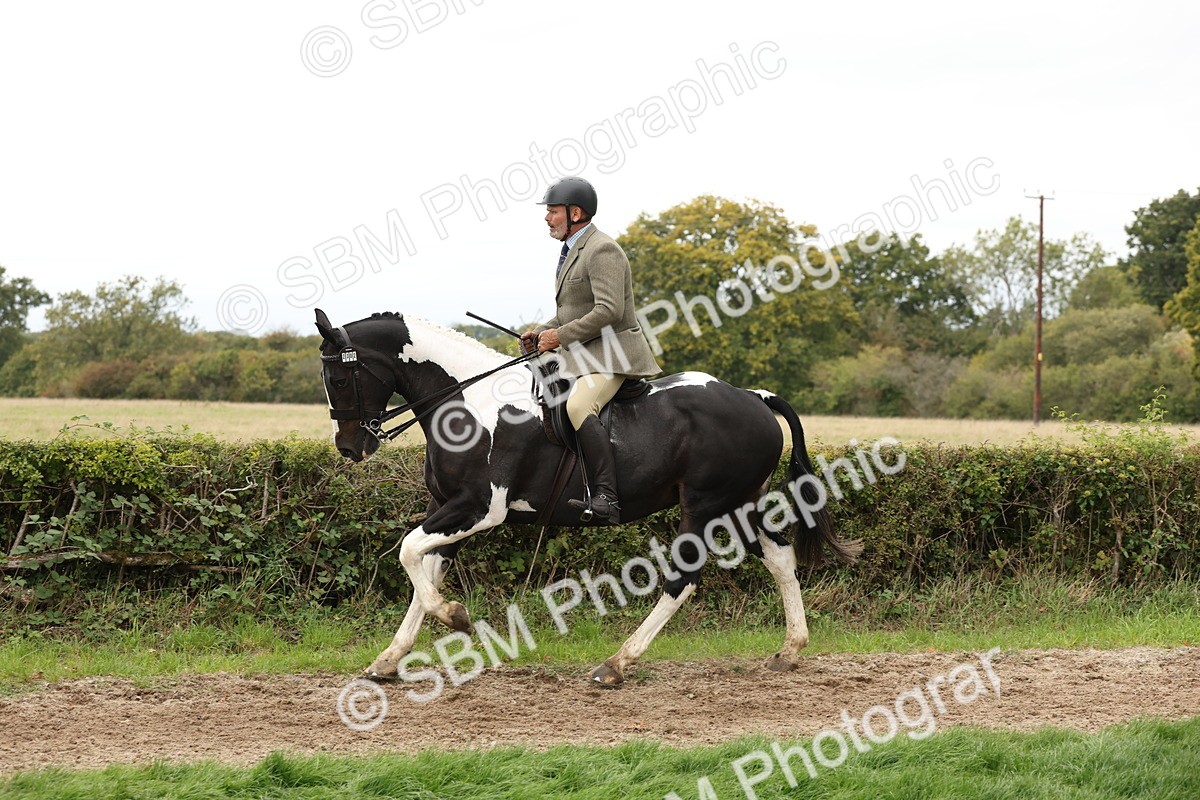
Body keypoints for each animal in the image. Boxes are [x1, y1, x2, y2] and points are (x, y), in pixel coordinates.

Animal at [315, 308, 861, 686]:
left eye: (340, 378)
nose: (350, 447)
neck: (469, 404)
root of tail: (753, 397)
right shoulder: (445, 508)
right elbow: (423, 569)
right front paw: (389, 659)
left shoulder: (478, 509)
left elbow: (410, 553)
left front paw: (456, 616)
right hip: (740, 504)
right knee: (781, 559)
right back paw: (790, 649)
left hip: (705, 507)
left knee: (682, 580)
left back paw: (617, 663)